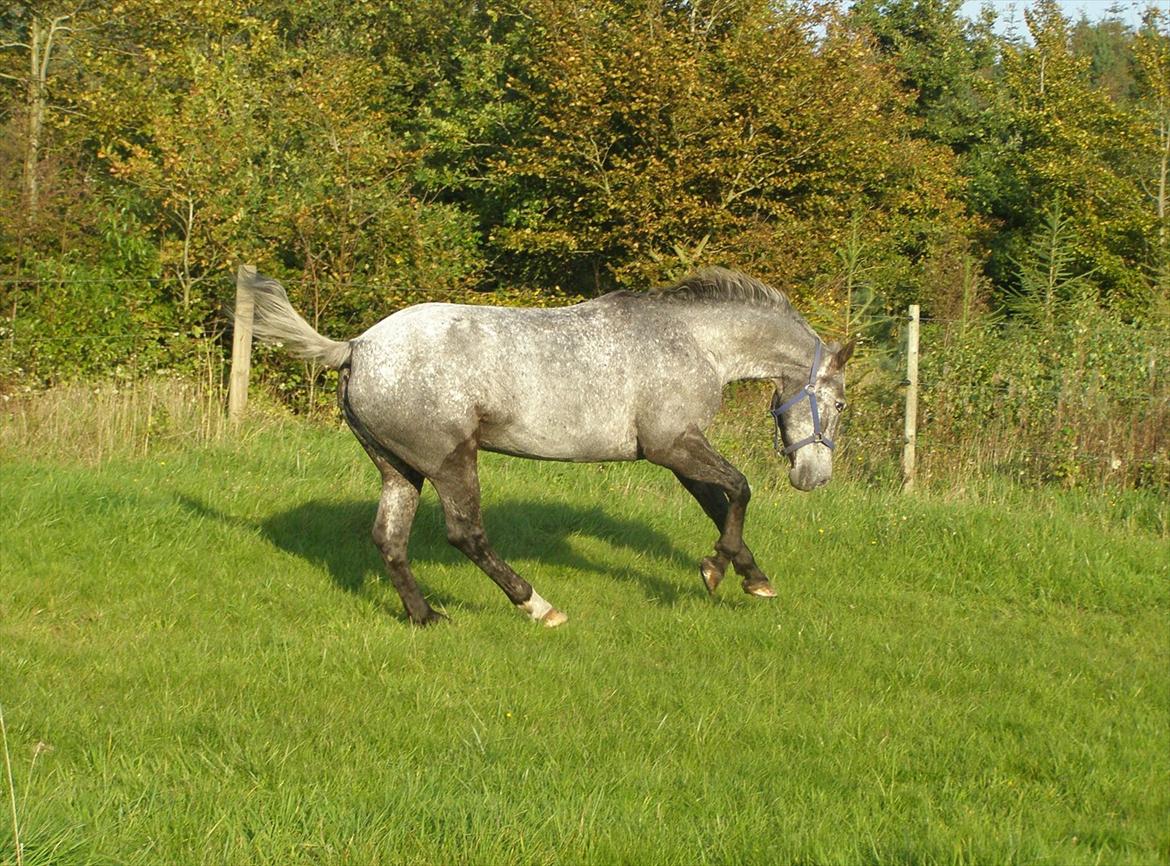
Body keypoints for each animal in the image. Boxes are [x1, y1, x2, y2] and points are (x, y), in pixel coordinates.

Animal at [246, 266, 851, 627]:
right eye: (842, 405)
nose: (813, 477)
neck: (694, 341)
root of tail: (356, 347)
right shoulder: (673, 446)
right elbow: (739, 491)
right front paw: (716, 570)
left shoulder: (681, 454)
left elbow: (719, 505)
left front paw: (752, 578)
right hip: (451, 462)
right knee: (465, 534)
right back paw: (538, 607)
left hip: (399, 470)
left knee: (390, 541)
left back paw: (427, 617)